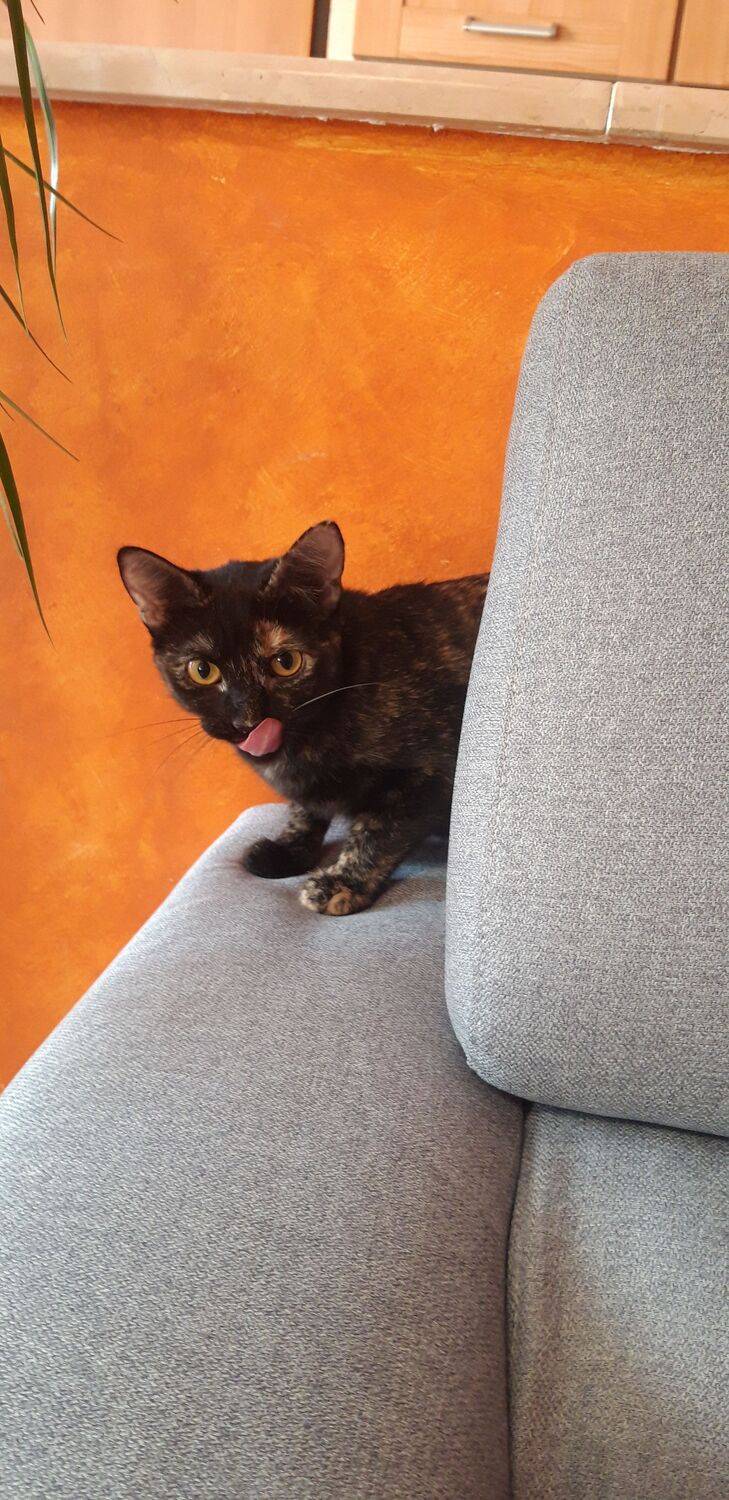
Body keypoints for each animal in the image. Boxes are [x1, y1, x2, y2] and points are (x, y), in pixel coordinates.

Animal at [119, 522, 487, 916]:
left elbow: (378, 830)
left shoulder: (432, 771)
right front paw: (290, 849)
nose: (247, 720)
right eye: (203, 670)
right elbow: (304, 810)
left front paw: (343, 882)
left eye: (286, 662)